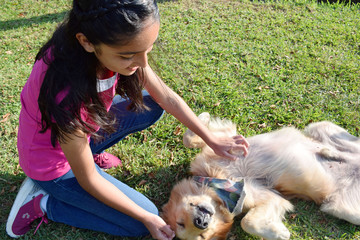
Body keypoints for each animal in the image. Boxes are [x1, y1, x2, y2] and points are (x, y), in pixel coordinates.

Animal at [162, 113, 360, 240]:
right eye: (202, 236)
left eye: (180, 223)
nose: (201, 222)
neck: (220, 181)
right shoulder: (269, 198)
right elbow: (248, 222)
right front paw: (281, 233)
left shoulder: (225, 144)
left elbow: (191, 139)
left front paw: (202, 118)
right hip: (341, 209)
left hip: (319, 125)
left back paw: (330, 152)